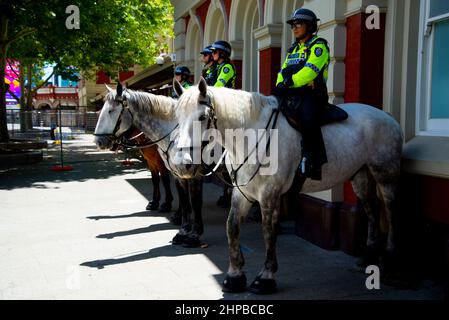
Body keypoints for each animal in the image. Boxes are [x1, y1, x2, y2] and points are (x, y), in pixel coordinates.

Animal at [94, 85, 205, 248]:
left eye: (111, 111)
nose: (99, 142)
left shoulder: (181, 169)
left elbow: (169, 183)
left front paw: (168, 205)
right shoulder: (154, 163)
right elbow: (157, 181)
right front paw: (156, 203)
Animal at [172, 79, 402, 294]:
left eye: (202, 117)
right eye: (177, 117)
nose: (182, 164)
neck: (252, 135)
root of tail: (388, 117)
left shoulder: (269, 193)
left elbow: (268, 231)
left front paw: (266, 277)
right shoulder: (242, 193)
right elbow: (232, 227)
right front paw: (235, 276)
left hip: (385, 175)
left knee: (391, 213)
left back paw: (391, 261)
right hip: (361, 175)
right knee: (372, 211)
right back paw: (369, 257)